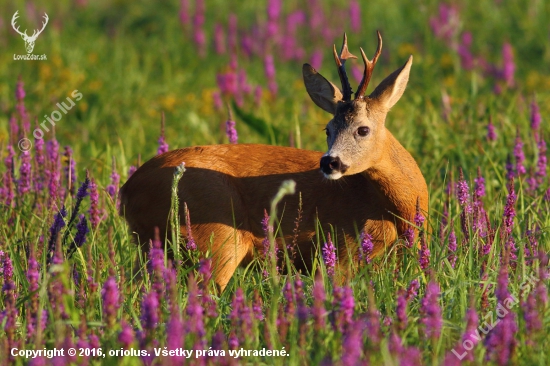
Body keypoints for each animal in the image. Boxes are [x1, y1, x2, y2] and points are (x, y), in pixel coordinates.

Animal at [121, 33, 432, 290]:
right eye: (328, 129)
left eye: (363, 129)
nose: (329, 163)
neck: (398, 207)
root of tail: (127, 190)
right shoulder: (344, 246)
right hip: (216, 236)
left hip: (152, 246)